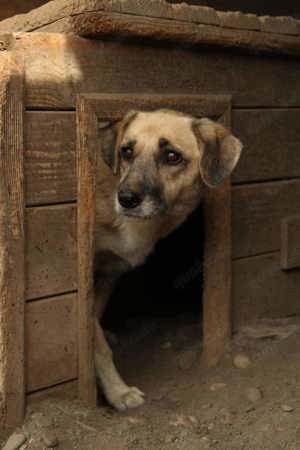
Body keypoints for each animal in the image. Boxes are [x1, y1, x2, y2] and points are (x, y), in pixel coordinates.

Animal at [93, 109, 241, 412]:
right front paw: (117, 391)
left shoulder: (105, 278)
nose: (126, 198)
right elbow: (96, 342)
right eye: (126, 151)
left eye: (172, 156)